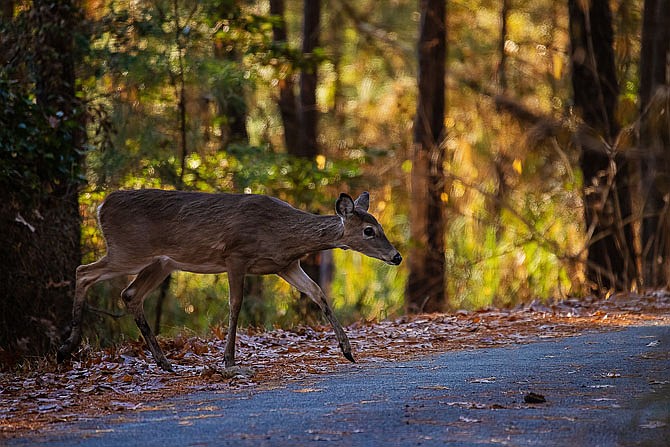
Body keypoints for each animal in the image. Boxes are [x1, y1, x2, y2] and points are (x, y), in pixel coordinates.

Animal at [57, 189, 402, 372]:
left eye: (380, 226)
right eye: (369, 231)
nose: (397, 256)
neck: (284, 235)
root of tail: (102, 205)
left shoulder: (284, 265)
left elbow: (318, 293)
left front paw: (347, 349)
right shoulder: (236, 256)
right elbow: (235, 304)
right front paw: (229, 359)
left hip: (160, 262)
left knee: (130, 294)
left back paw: (164, 362)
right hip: (129, 251)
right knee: (83, 271)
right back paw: (66, 347)